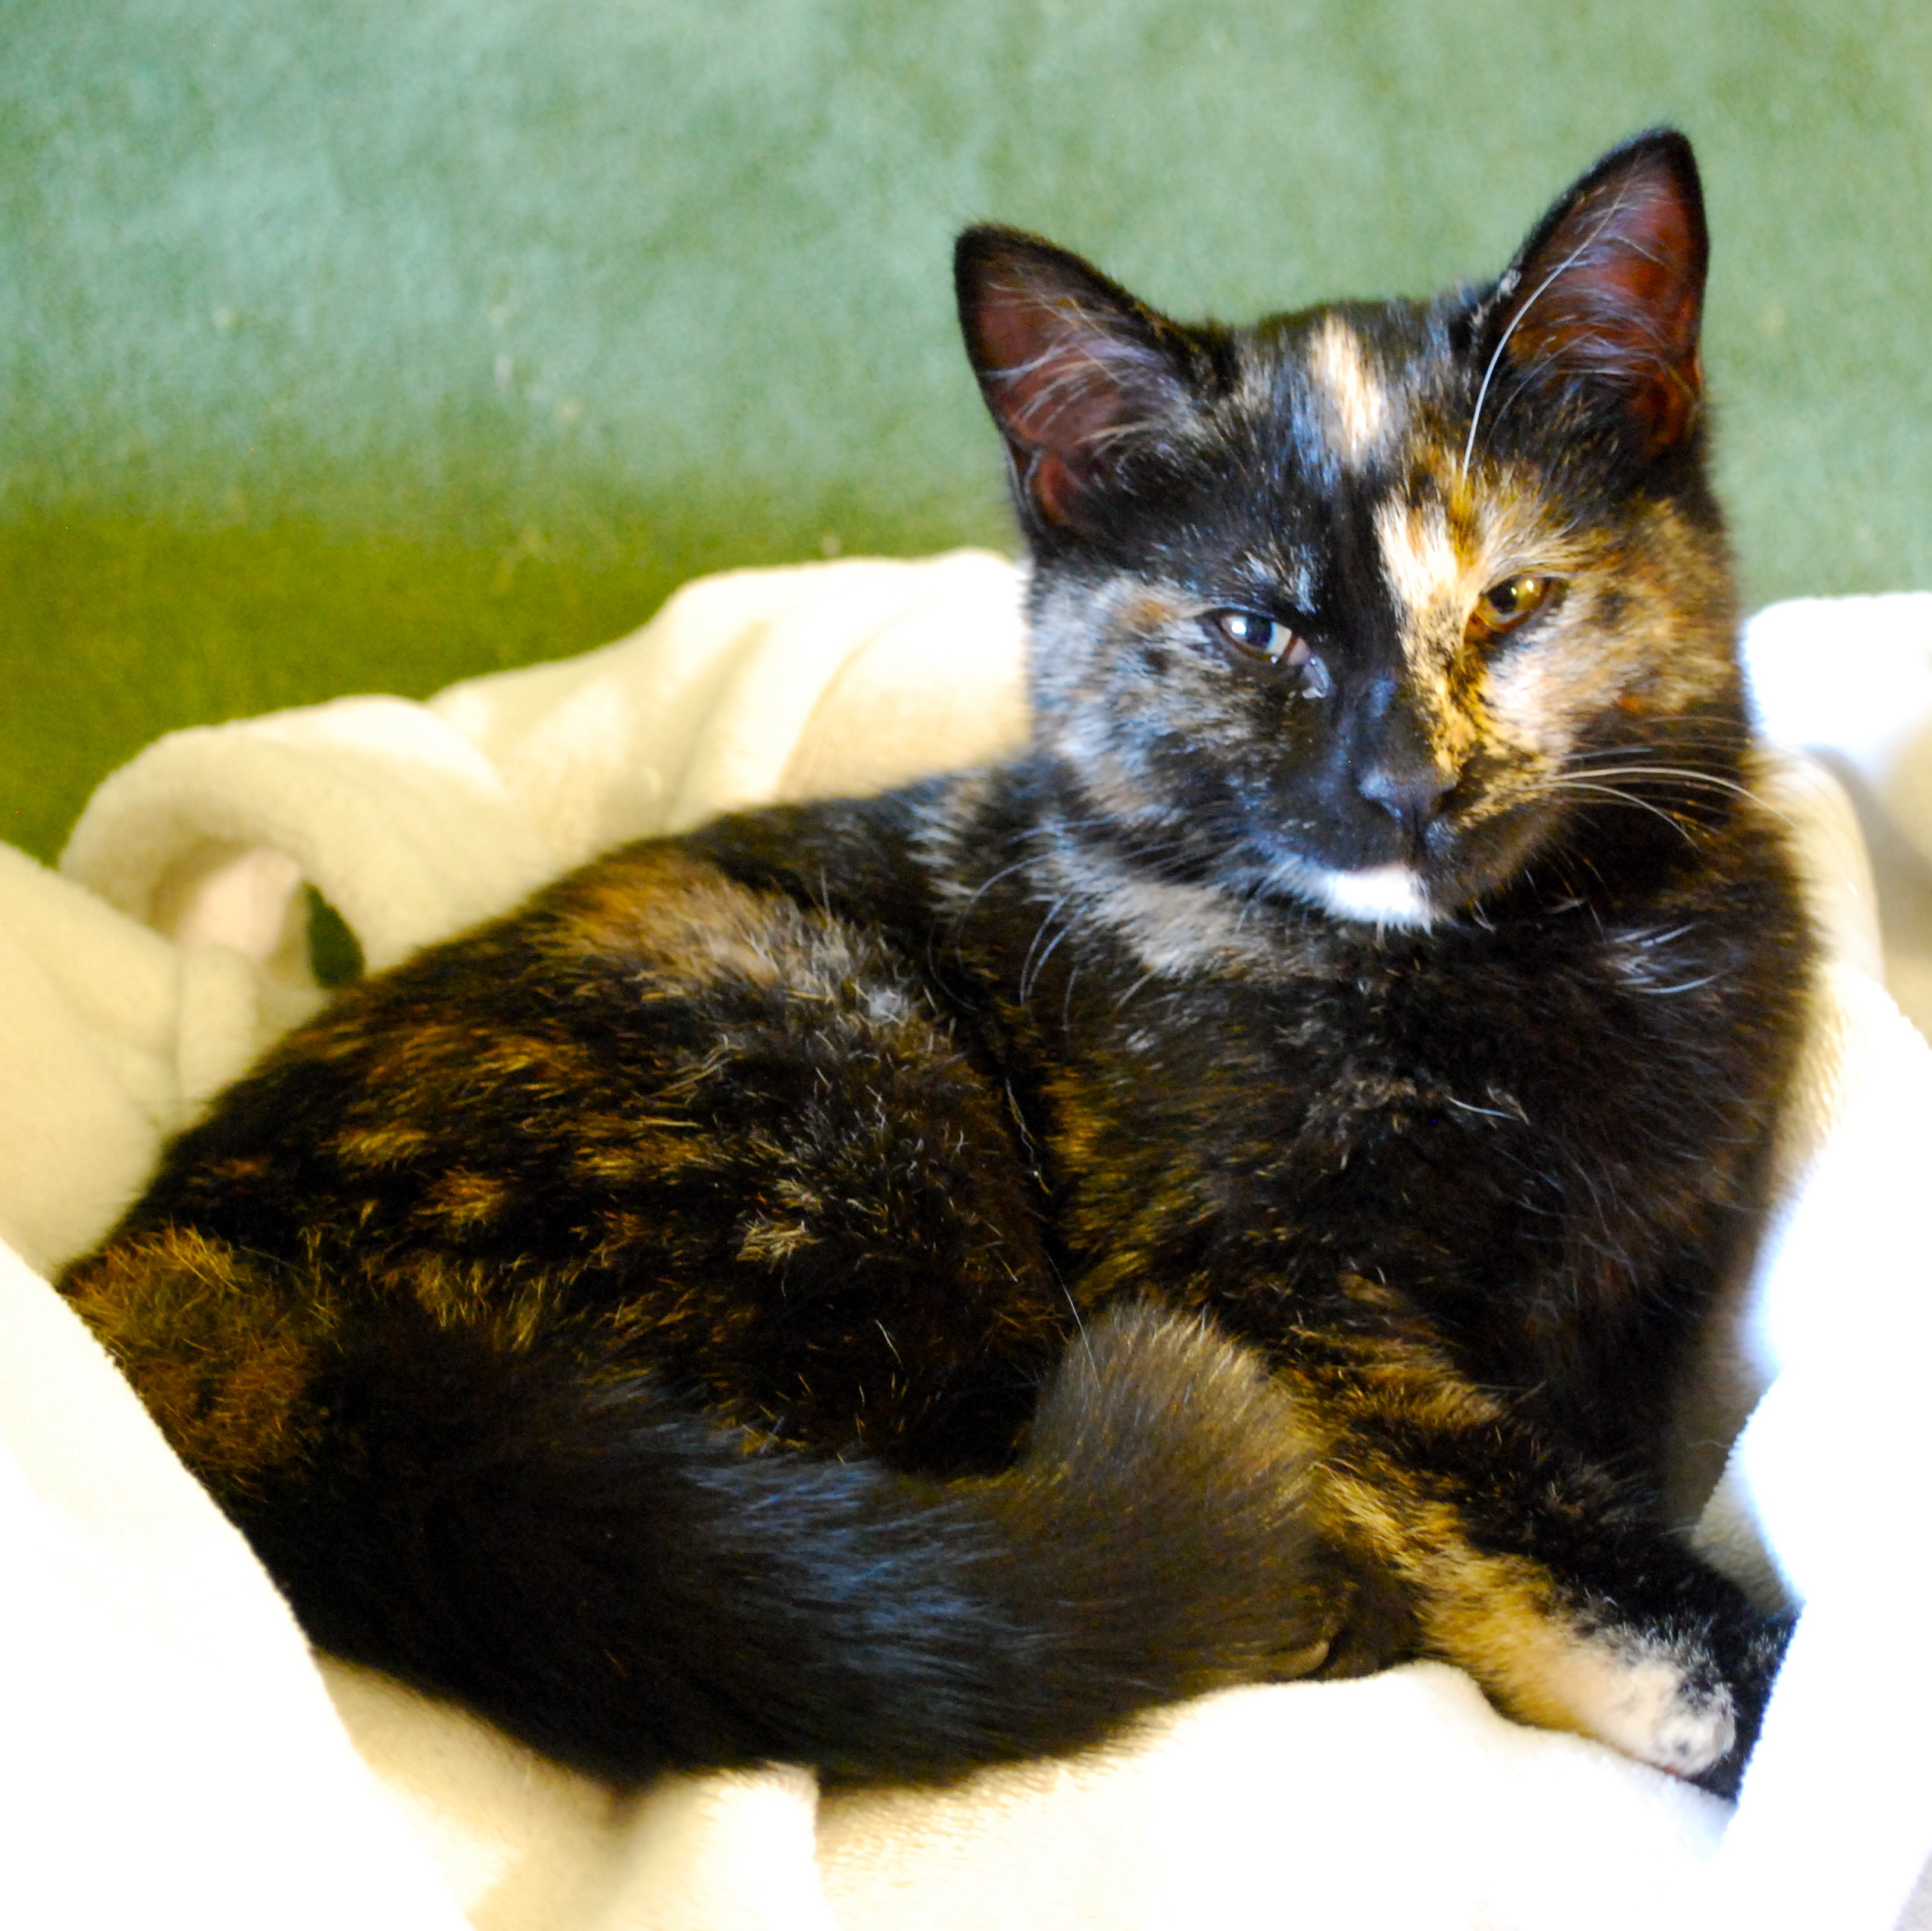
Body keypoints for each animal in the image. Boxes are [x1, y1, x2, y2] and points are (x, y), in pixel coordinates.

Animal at [62, 128, 1809, 1797]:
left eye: (1513, 601)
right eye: (1254, 631)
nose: (1407, 783)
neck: (1510, 970)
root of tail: (164, 1271)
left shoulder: (1647, 1275)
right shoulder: (1252, 1286)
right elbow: (1543, 1534)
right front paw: (1763, 1699)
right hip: (846, 1100)